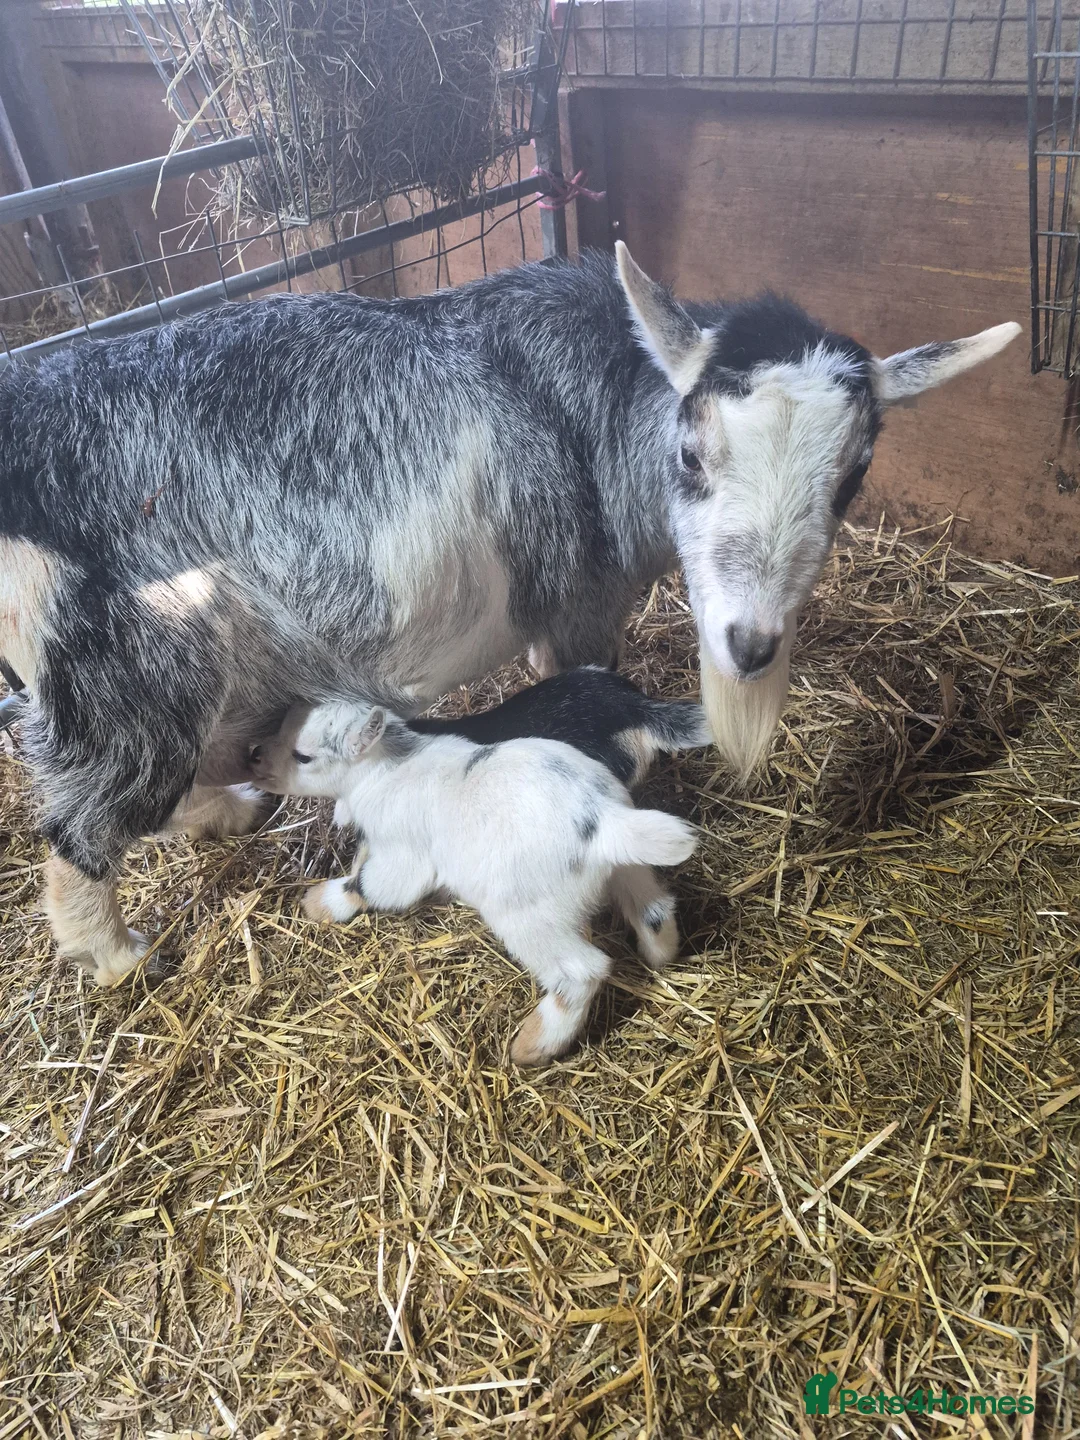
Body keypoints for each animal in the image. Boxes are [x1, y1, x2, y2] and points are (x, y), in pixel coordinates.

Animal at [0, 242, 1019, 983]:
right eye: (691, 455)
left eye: (853, 480)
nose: (751, 643)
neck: (609, 399)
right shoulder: (582, 606)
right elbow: (582, 690)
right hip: (122, 671)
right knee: (81, 828)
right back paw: (118, 957)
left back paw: (229, 812)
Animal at [250, 701, 698, 1064]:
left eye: (303, 756)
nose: (253, 758)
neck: (386, 769)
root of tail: (604, 822)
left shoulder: (403, 855)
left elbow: (369, 885)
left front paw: (317, 903)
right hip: (628, 868)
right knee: (654, 909)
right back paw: (660, 957)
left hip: (527, 914)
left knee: (581, 971)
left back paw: (532, 1046)